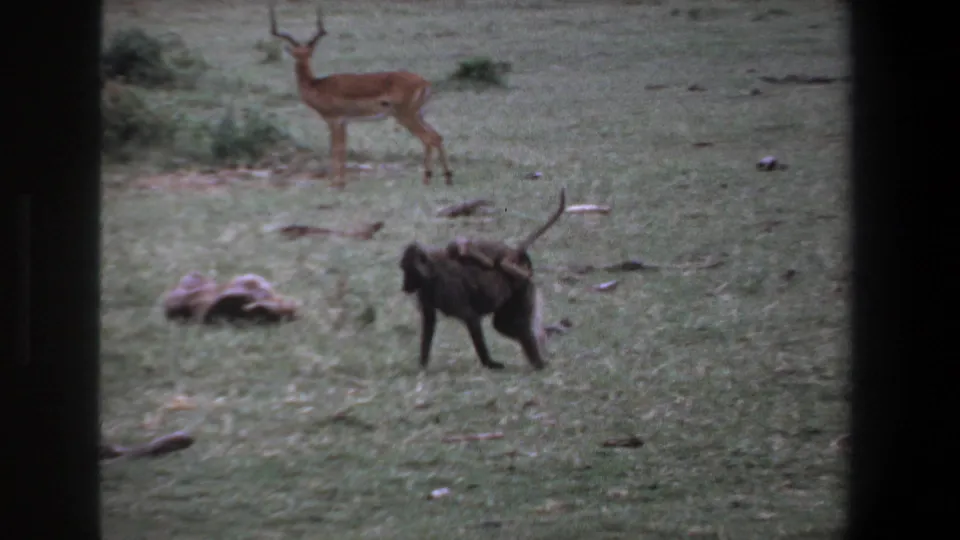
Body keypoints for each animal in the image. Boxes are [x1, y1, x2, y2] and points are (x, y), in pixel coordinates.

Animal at [268, 2, 453, 188]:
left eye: (306, 53)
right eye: (298, 54)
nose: (301, 60)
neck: (318, 85)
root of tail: (424, 82)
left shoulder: (335, 120)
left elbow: (337, 148)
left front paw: (336, 183)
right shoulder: (343, 121)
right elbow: (341, 148)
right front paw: (340, 181)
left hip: (406, 116)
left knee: (429, 138)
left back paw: (430, 178)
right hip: (418, 114)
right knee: (437, 136)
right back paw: (445, 177)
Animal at [399, 188, 566, 371]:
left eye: (408, 271)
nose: (404, 287)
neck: (431, 272)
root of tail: (518, 257)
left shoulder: (448, 289)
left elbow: (471, 318)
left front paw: (489, 363)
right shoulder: (425, 291)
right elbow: (429, 322)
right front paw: (422, 365)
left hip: (521, 286)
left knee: (514, 325)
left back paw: (539, 361)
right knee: (503, 325)